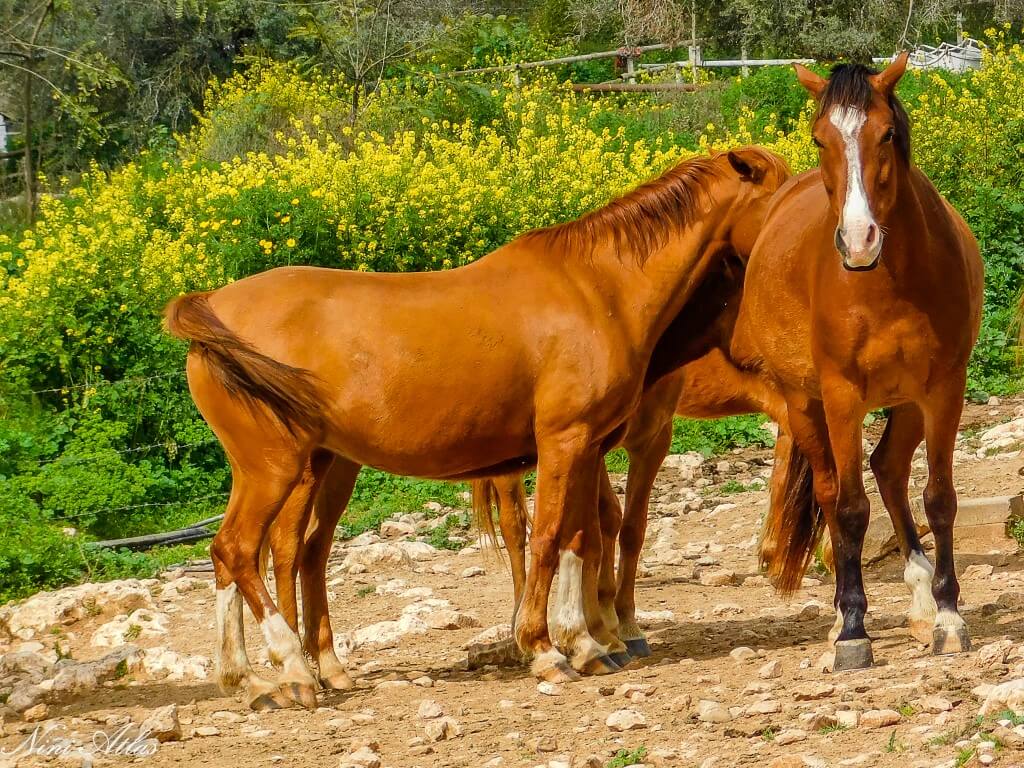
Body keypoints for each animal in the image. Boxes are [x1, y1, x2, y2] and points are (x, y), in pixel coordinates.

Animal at [165, 145, 790, 708]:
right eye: (780, 193)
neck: (598, 288)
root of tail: (210, 306)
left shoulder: (588, 448)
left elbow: (580, 538)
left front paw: (587, 644)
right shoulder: (565, 442)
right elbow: (548, 538)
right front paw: (545, 648)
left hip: (308, 465)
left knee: (264, 555)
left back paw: (256, 678)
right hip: (275, 468)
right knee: (242, 551)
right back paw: (291, 669)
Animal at [737, 54, 983, 671]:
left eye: (887, 133)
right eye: (818, 137)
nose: (858, 240)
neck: (886, 281)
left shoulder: (944, 388)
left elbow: (939, 499)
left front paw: (948, 617)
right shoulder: (842, 394)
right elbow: (848, 508)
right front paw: (853, 630)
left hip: (909, 401)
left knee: (889, 469)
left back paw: (920, 600)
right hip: (804, 403)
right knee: (832, 492)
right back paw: (839, 617)